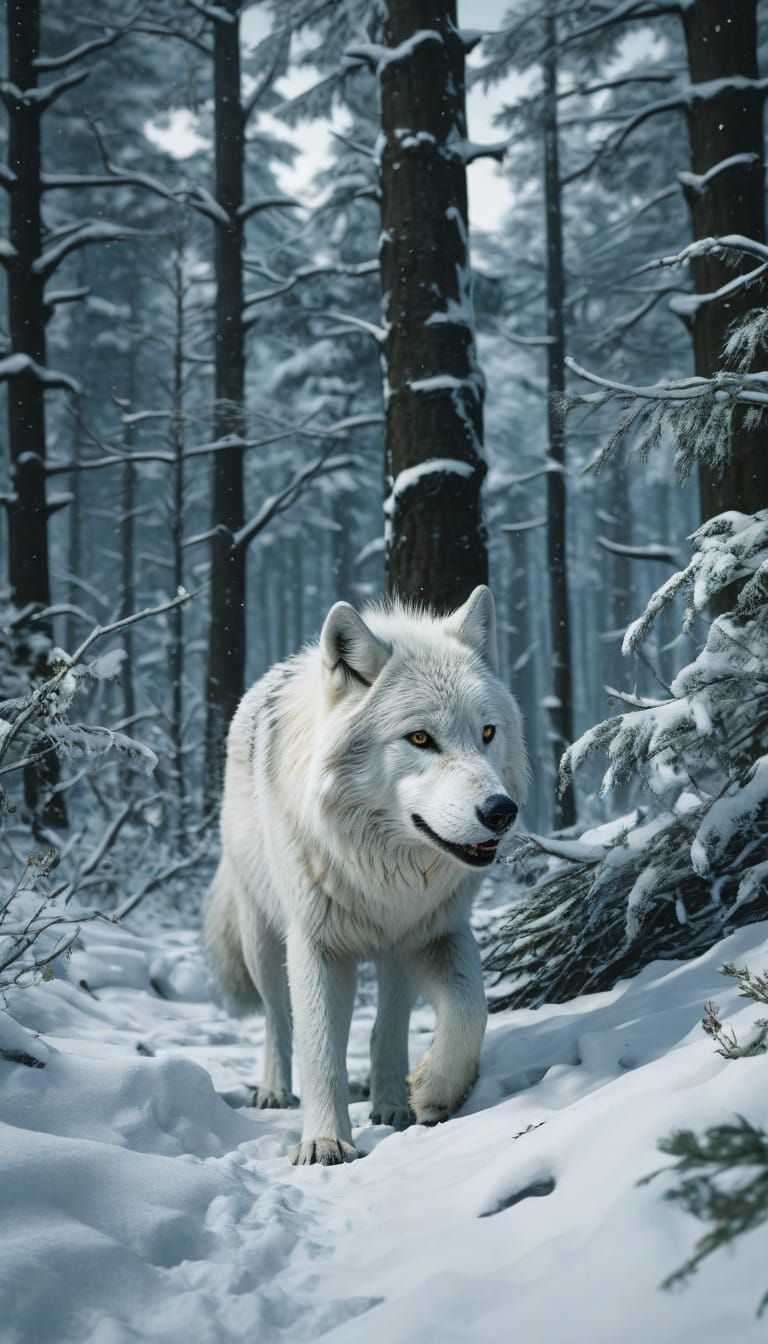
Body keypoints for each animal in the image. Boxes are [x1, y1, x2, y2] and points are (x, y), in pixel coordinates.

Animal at [205, 585, 528, 1165]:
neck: (385, 871)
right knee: (277, 1019)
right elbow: (319, 1048)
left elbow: (471, 1010)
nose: (501, 811)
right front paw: (324, 1142)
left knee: (388, 1025)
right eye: (419, 738)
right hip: (262, 939)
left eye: (488, 732)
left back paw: (391, 1104)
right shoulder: (316, 945)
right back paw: (274, 1090)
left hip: (391, 955)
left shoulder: (435, 930)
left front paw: (432, 1091)